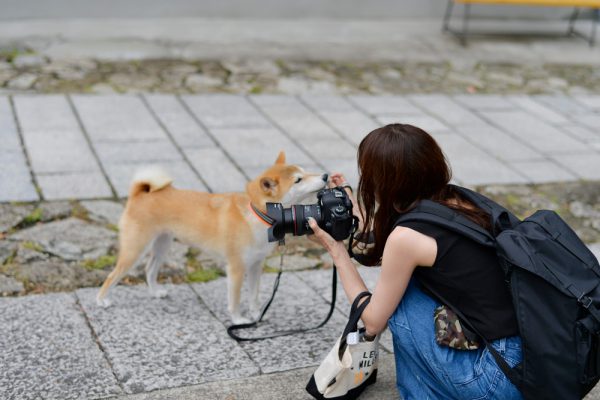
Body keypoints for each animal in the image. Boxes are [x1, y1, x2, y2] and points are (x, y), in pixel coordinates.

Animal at [96, 152, 328, 324]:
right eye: (298, 180)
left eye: (304, 171)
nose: (325, 176)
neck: (256, 214)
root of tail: (140, 195)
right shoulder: (236, 268)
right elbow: (235, 299)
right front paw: (238, 320)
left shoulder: (256, 265)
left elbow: (253, 296)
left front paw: (256, 315)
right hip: (135, 249)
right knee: (112, 276)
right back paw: (102, 301)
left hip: (162, 244)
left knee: (149, 270)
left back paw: (155, 293)